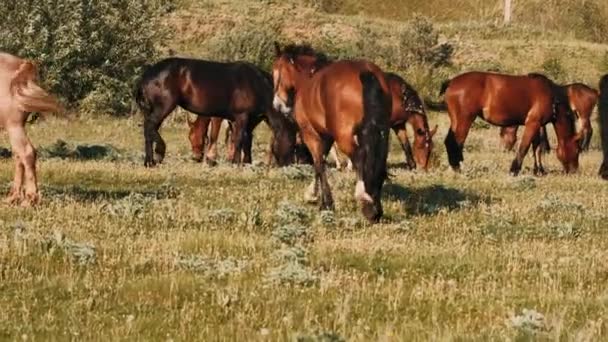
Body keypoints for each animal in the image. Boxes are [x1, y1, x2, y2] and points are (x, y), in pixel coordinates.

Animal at [270, 44, 390, 222]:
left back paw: (364, 200)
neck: (309, 78)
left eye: (276, 73)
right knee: (378, 162)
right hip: (382, 133)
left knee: (360, 157)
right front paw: (313, 194)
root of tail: (365, 72)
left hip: (345, 137)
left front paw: (325, 203)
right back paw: (376, 207)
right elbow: (320, 164)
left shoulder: (311, 135)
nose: (277, 104)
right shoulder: (326, 137)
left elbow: (319, 164)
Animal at [442, 71, 580, 175]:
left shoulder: (538, 125)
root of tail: (451, 82)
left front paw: (539, 170)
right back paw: (458, 167)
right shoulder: (532, 123)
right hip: (464, 120)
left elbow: (537, 148)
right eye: (577, 150)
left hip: (456, 120)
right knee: (456, 142)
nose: (574, 171)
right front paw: (514, 170)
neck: (552, 97)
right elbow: (524, 147)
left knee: (449, 141)